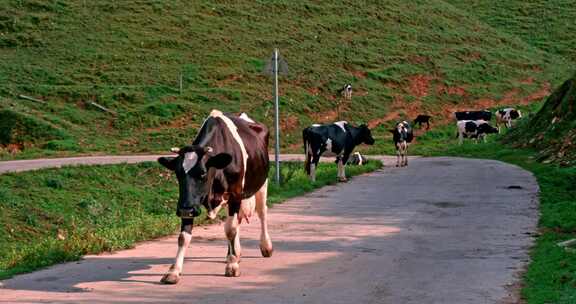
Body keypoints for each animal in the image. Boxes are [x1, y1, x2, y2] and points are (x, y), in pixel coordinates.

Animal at [156, 110, 274, 284]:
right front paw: (174, 271)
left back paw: (265, 246)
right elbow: (183, 237)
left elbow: (230, 229)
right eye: (178, 173)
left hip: (262, 184)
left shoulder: (235, 194)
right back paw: (236, 252)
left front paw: (232, 266)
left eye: (203, 173)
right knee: (239, 219)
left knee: (262, 212)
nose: (185, 210)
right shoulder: (189, 202)